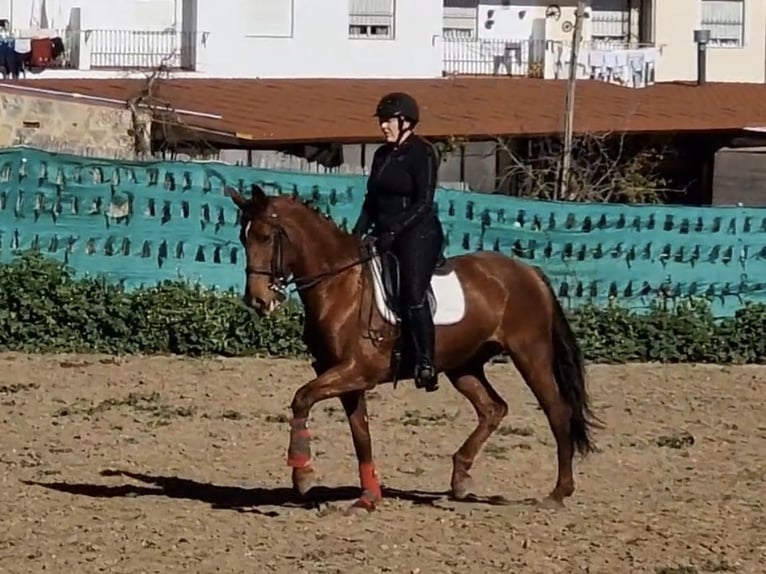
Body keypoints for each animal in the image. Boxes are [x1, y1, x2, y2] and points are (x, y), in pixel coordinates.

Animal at [225, 183, 604, 512]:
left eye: (265, 236)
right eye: (243, 238)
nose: (257, 300)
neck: (340, 285)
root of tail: (529, 271)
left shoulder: (356, 371)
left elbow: (301, 398)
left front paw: (302, 474)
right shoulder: (345, 376)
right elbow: (361, 434)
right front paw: (368, 496)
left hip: (530, 354)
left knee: (557, 411)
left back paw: (558, 493)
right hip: (463, 365)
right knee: (493, 408)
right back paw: (460, 478)